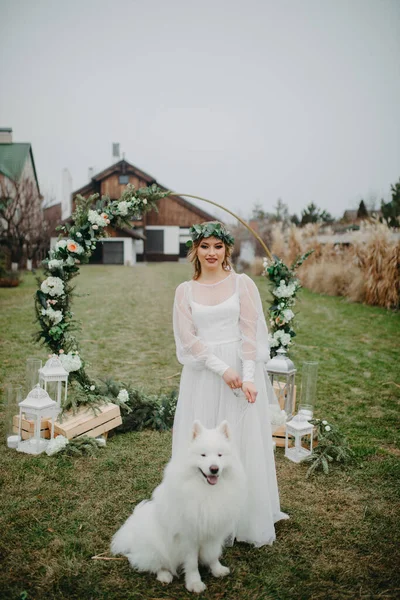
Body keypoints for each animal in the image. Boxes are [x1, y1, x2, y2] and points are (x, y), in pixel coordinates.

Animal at [111, 420, 245, 592]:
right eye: (203, 455)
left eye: (220, 455)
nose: (214, 469)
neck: (206, 491)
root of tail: (132, 534)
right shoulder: (189, 537)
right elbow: (192, 564)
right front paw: (194, 583)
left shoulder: (214, 532)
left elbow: (213, 554)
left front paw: (217, 569)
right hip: (156, 546)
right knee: (155, 564)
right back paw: (164, 575)